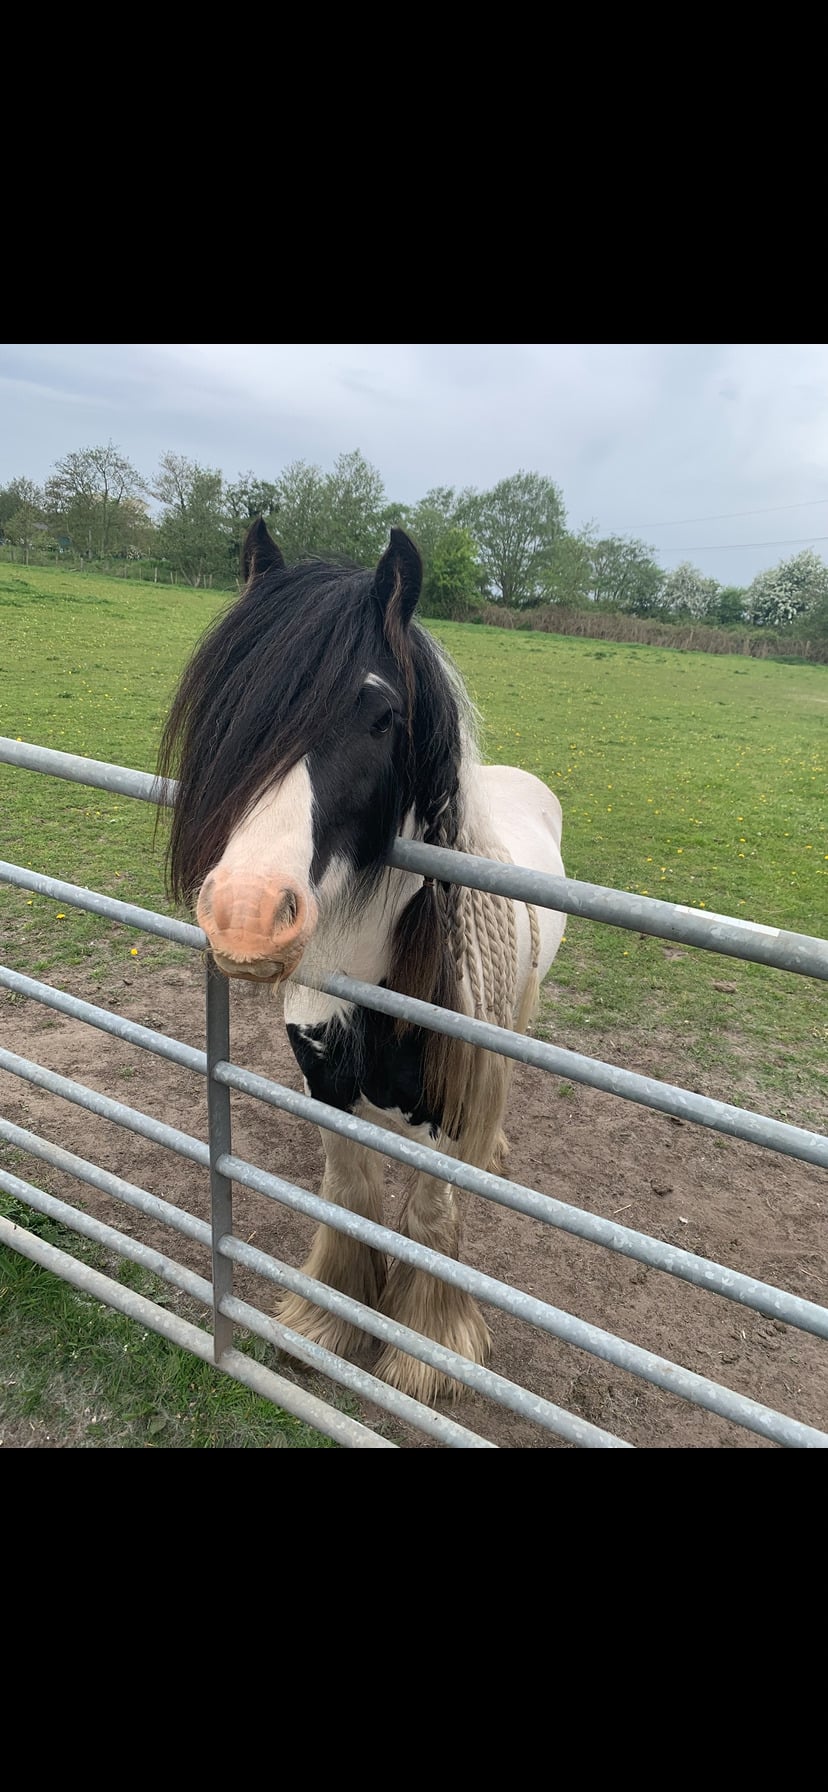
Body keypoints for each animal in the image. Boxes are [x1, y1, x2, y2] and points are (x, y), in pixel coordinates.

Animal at [158, 517, 566, 1403]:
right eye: (232, 707)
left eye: (381, 718)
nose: (246, 916)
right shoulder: (328, 1090)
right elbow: (351, 1197)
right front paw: (333, 1320)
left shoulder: (446, 1114)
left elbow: (430, 1217)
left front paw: (425, 1350)